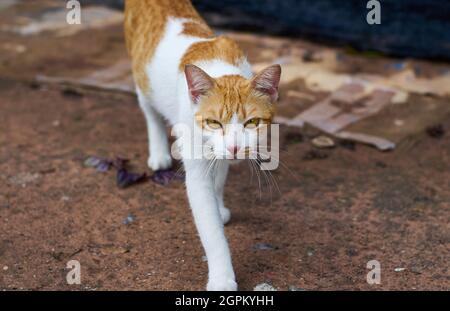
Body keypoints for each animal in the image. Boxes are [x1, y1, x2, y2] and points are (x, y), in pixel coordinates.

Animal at [125, 0, 280, 292]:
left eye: (252, 122)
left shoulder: (219, 154)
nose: (234, 148)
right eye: (213, 122)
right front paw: (222, 278)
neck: (220, 68)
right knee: (150, 112)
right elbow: (210, 230)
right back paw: (159, 151)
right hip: (142, 81)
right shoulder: (197, 165)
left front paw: (219, 207)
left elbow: (218, 180)